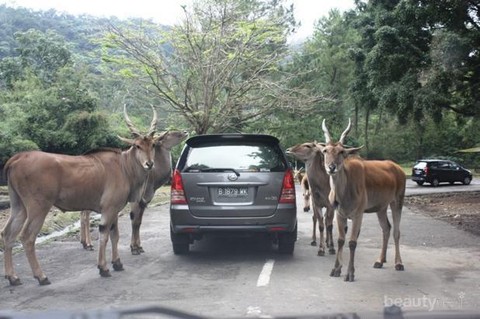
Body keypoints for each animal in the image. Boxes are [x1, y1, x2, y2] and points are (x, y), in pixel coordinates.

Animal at [2, 106, 159, 286]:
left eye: (153, 144)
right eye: (137, 145)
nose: (149, 164)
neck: (124, 166)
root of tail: (16, 159)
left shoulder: (115, 210)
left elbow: (115, 235)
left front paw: (117, 263)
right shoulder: (109, 208)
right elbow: (104, 235)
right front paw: (103, 268)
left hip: (18, 205)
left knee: (7, 233)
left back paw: (13, 277)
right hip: (38, 207)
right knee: (27, 237)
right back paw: (41, 276)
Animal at [318, 119, 404, 282]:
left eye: (342, 152)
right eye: (325, 151)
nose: (331, 167)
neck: (344, 193)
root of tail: (399, 168)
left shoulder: (358, 214)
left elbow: (352, 242)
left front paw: (350, 273)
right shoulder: (340, 214)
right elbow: (341, 240)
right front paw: (336, 269)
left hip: (398, 201)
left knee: (396, 231)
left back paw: (398, 263)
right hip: (381, 207)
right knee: (386, 228)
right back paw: (380, 261)